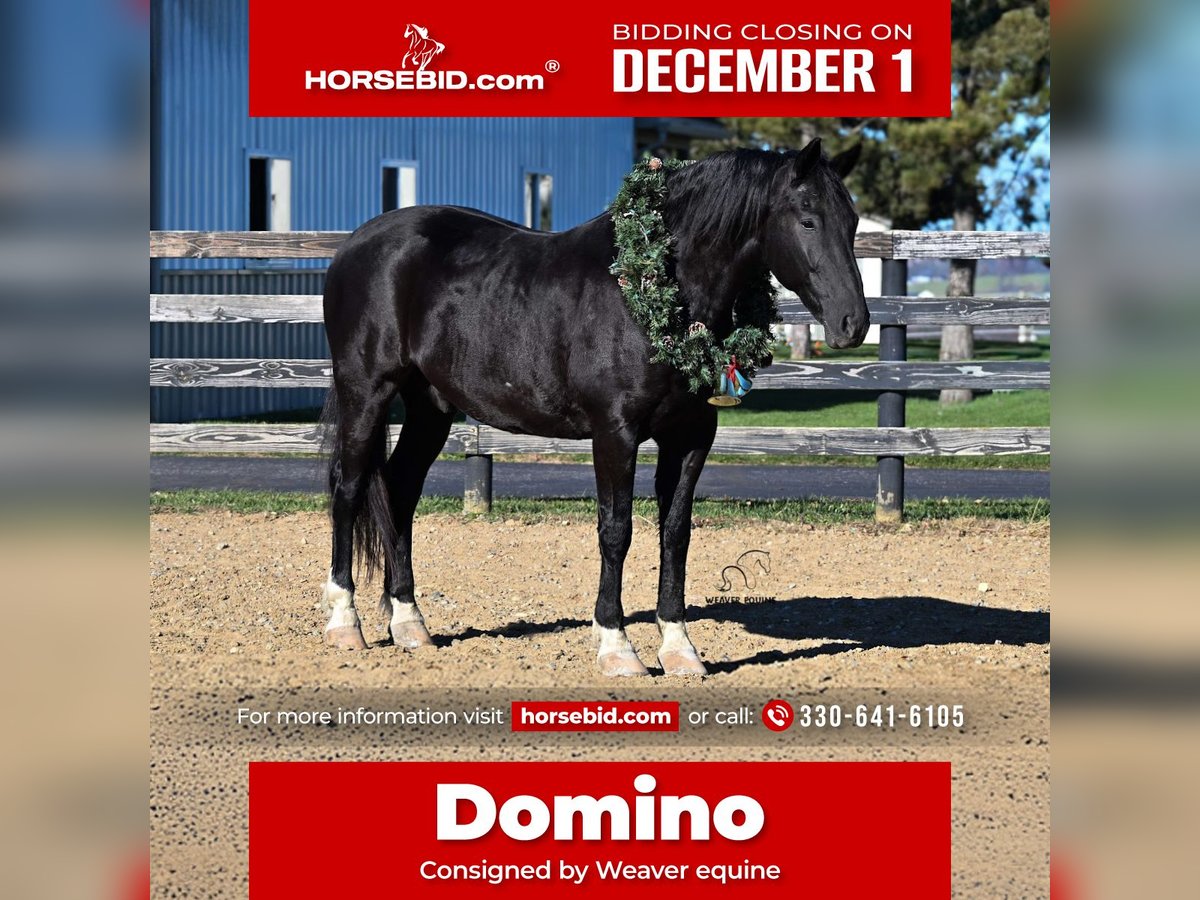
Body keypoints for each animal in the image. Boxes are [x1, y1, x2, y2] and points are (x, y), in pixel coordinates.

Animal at [318, 138, 868, 676]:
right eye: (808, 219)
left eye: (853, 221)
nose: (853, 324)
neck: (648, 291)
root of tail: (355, 245)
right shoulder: (614, 433)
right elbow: (616, 531)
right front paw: (617, 647)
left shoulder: (691, 435)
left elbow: (675, 533)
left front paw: (679, 648)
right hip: (366, 391)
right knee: (349, 490)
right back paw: (346, 624)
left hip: (430, 407)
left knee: (400, 490)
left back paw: (409, 623)